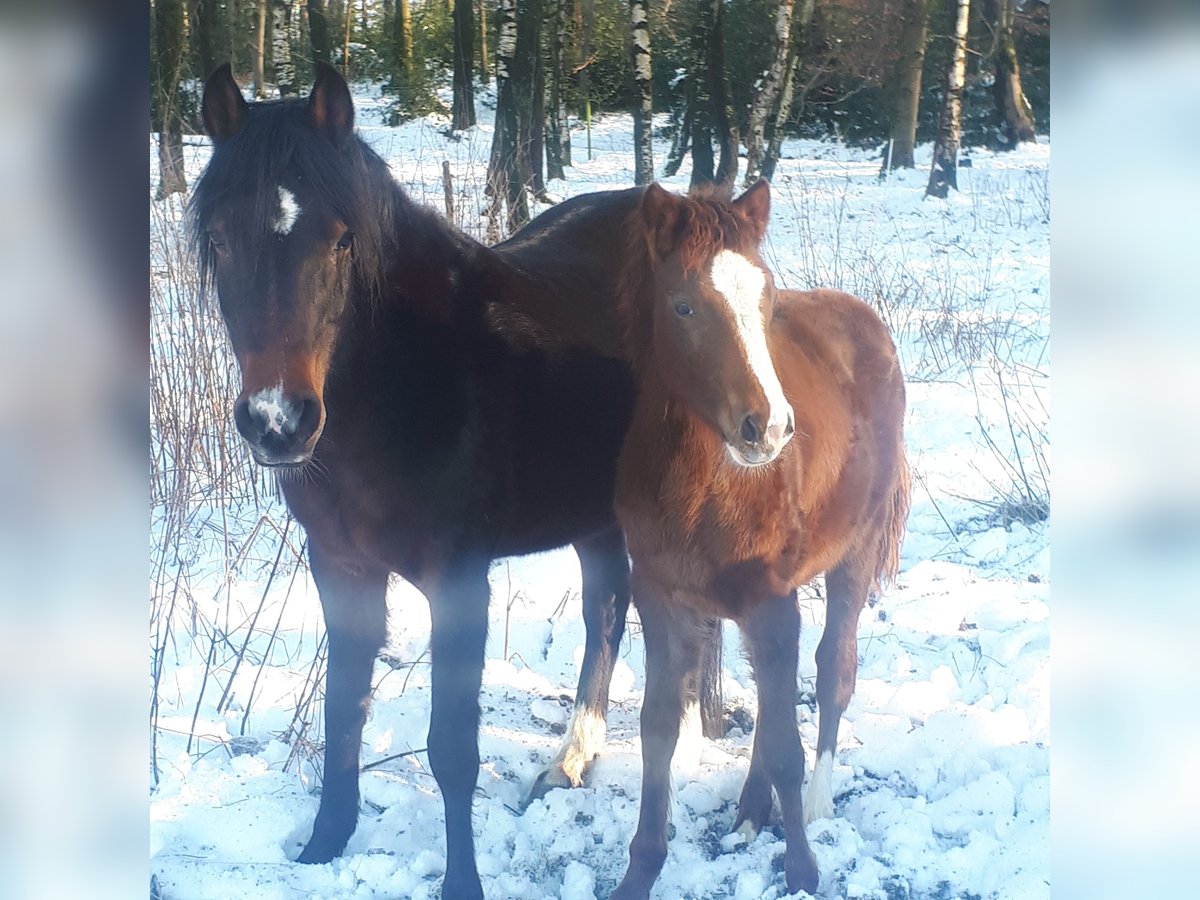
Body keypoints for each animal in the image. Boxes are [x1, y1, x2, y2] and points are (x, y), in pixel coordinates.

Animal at [186, 61, 710, 897]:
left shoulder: (459, 581)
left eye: (341, 240)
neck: (401, 382)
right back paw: (571, 760)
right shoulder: (339, 566)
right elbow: (344, 707)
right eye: (219, 238)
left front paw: (462, 881)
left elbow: (451, 751)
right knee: (606, 608)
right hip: (596, 512)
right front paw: (323, 845)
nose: (278, 422)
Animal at [600, 180, 907, 897]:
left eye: (766, 301)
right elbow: (659, 730)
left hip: (853, 554)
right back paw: (747, 811)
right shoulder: (661, 598)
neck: (699, 485)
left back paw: (814, 804)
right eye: (683, 305)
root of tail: (865, 320)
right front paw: (639, 870)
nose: (767, 428)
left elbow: (787, 742)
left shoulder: (772, 599)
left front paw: (802, 871)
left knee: (833, 670)